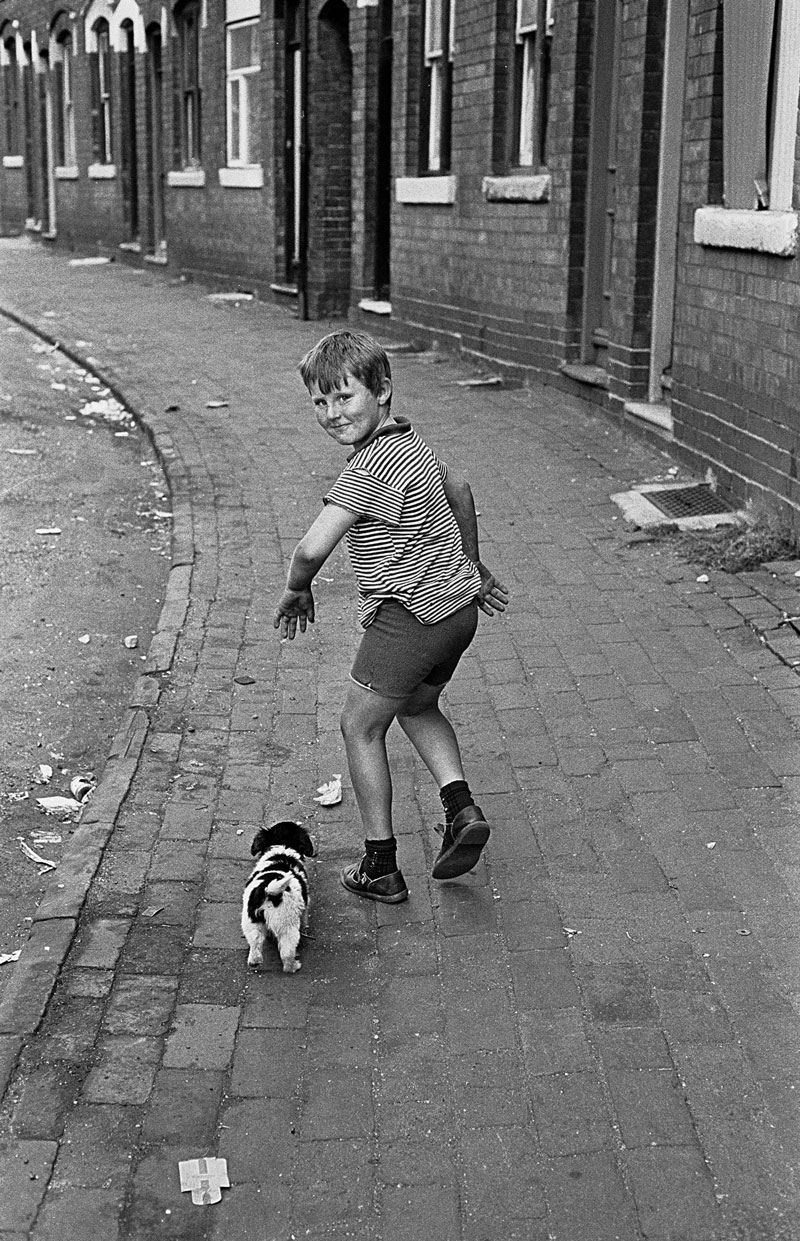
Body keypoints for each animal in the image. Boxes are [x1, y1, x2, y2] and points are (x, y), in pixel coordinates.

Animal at [243, 819, 315, 972]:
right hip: (287, 927)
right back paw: (293, 966)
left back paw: (255, 962)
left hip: (251, 923)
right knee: (286, 954)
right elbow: (304, 917)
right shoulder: (305, 905)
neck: (283, 847)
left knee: (255, 948)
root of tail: (268, 890)